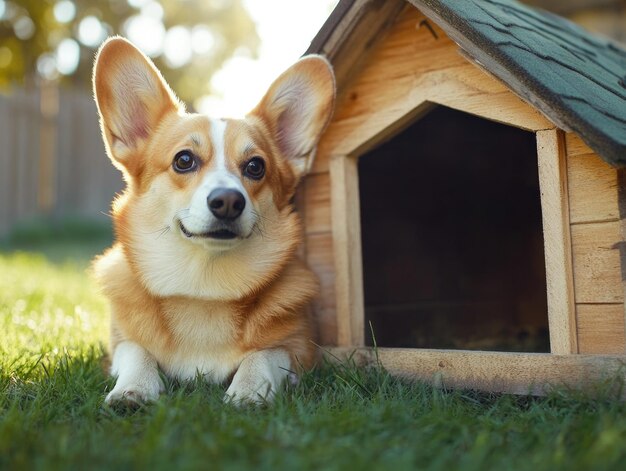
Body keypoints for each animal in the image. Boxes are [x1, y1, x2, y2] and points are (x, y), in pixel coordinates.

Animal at [91, 37, 334, 406]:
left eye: (255, 167)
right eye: (184, 160)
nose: (229, 201)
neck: (204, 286)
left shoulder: (299, 349)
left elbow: (262, 354)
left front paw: (249, 391)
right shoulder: (119, 344)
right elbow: (137, 352)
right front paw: (133, 389)